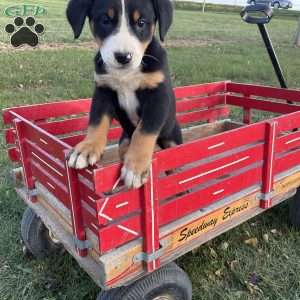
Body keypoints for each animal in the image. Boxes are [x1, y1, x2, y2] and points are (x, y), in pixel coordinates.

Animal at [66, 0, 182, 189]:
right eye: (105, 20)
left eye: (141, 22)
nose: (123, 57)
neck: (125, 74)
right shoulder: (103, 91)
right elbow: (97, 122)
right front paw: (87, 148)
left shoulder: (158, 96)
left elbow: (144, 131)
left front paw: (135, 167)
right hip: (124, 141)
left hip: (172, 139)